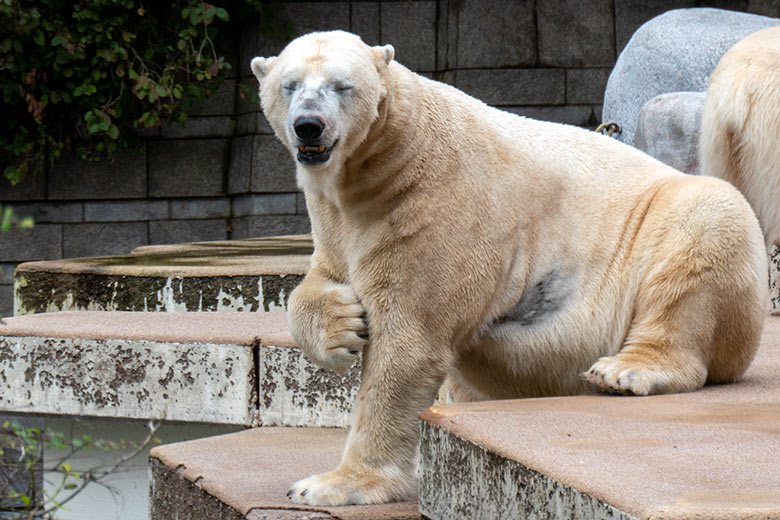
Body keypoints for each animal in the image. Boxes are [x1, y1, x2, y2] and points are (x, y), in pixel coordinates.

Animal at [251, 30, 768, 506]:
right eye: (289, 85)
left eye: (342, 86)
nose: (309, 126)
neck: (386, 158)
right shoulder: (337, 216)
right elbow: (323, 276)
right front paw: (340, 325)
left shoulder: (432, 205)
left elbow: (409, 341)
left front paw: (332, 484)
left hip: (666, 219)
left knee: (708, 221)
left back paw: (625, 371)